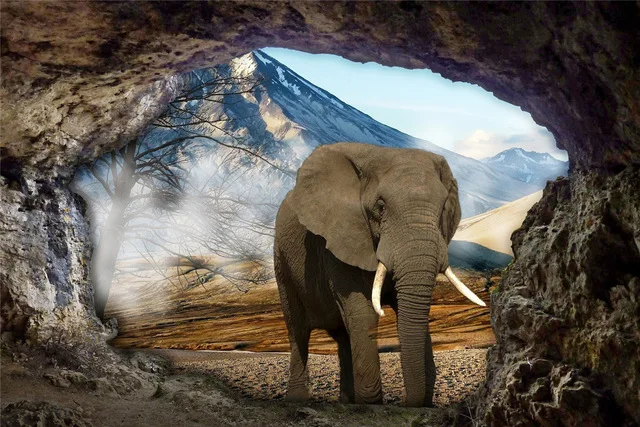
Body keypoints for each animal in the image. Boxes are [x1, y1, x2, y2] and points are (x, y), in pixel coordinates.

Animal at [273, 142, 486, 407]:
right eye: (380, 207)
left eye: (443, 208)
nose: (407, 403)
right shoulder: (340, 238)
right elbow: (363, 314)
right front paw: (371, 404)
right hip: (281, 260)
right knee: (298, 331)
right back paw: (298, 400)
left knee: (343, 337)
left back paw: (347, 402)